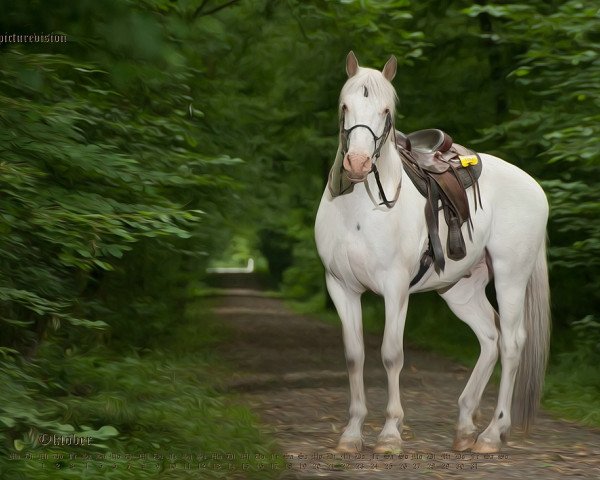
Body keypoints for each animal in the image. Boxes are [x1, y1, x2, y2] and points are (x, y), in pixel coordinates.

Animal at [316, 52, 552, 454]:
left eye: (386, 111)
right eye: (344, 105)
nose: (358, 164)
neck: (359, 210)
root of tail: (534, 187)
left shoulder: (395, 289)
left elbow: (391, 355)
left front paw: (390, 434)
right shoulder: (341, 287)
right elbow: (354, 356)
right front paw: (351, 433)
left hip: (510, 277)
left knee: (511, 343)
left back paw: (492, 433)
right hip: (460, 289)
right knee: (489, 338)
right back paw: (465, 426)